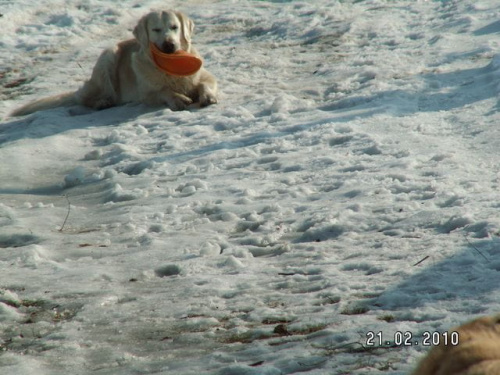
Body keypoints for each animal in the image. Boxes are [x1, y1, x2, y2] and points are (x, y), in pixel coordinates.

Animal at [10, 9, 218, 116]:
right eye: (156, 29)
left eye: (174, 27)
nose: (169, 45)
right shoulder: (146, 93)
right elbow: (163, 90)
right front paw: (178, 98)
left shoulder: (207, 76)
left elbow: (205, 83)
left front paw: (207, 96)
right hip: (108, 57)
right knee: (83, 97)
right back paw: (101, 102)